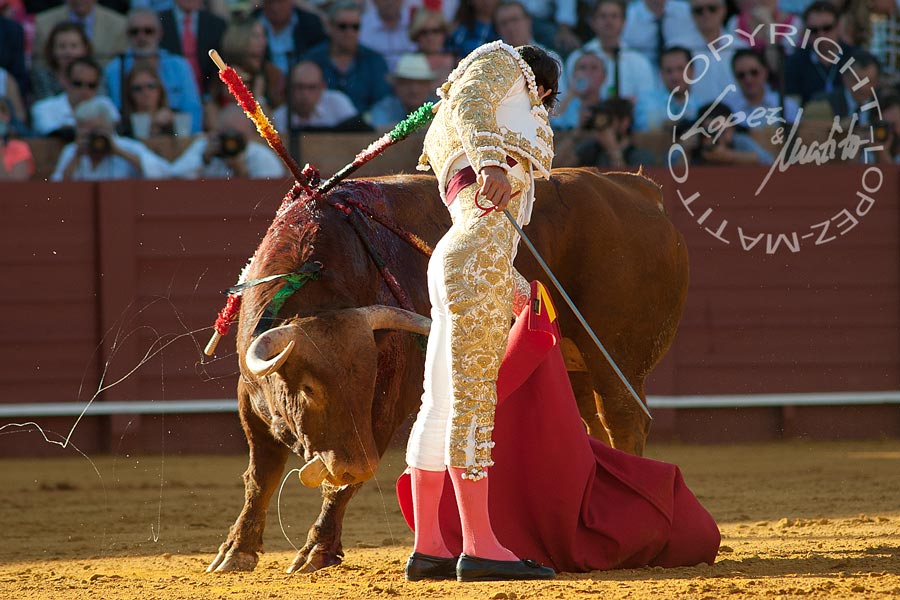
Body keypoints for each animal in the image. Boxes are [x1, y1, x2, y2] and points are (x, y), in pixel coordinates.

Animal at [207, 166, 688, 576]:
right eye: (307, 388)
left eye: (368, 380)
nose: (353, 464)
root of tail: (639, 188)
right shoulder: (250, 399)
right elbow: (262, 475)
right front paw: (237, 551)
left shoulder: (386, 407)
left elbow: (336, 487)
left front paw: (316, 552)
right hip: (578, 364)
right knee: (595, 425)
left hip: (615, 357)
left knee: (624, 419)